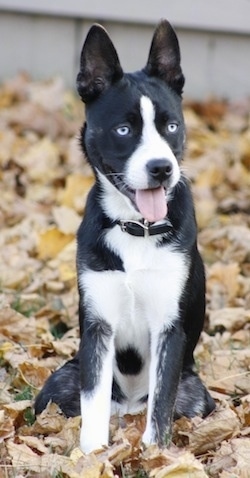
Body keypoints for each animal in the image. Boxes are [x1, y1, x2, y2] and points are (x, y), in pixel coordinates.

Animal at [35, 19, 215, 452]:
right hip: (58, 381)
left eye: (172, 126)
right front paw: (92, 456)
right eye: (123, 130)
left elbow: (161, 407)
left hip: (196, 392)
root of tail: (129, 407)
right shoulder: (98, 327)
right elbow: (93, 405)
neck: (139, 229)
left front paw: (152, 456)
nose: (161, 168)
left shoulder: (169, 328)